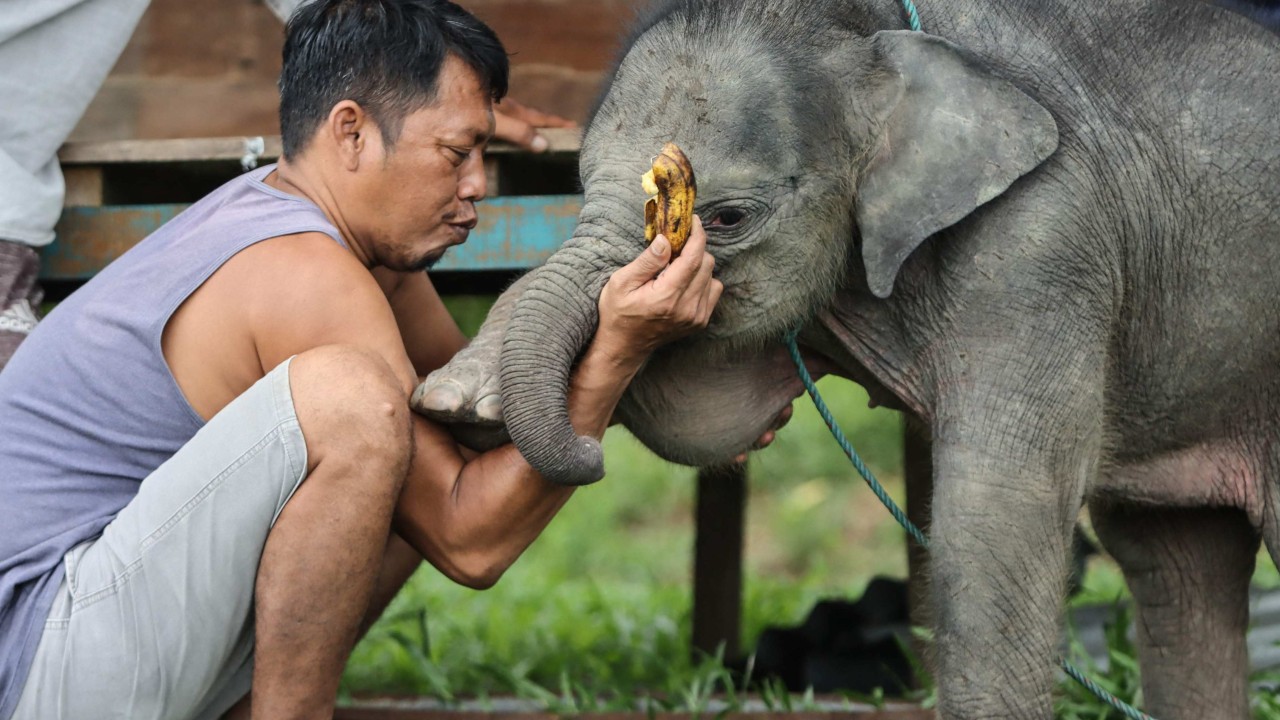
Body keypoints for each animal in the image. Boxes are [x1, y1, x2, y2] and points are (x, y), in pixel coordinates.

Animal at [415, 0, 1280, 717]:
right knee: (1177, 569)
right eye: (579, 183)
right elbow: (704, 416)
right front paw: (456, 401)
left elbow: (994, 518)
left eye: (725, 217)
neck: (867, 36)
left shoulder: (1043, 247)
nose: (586, 458)